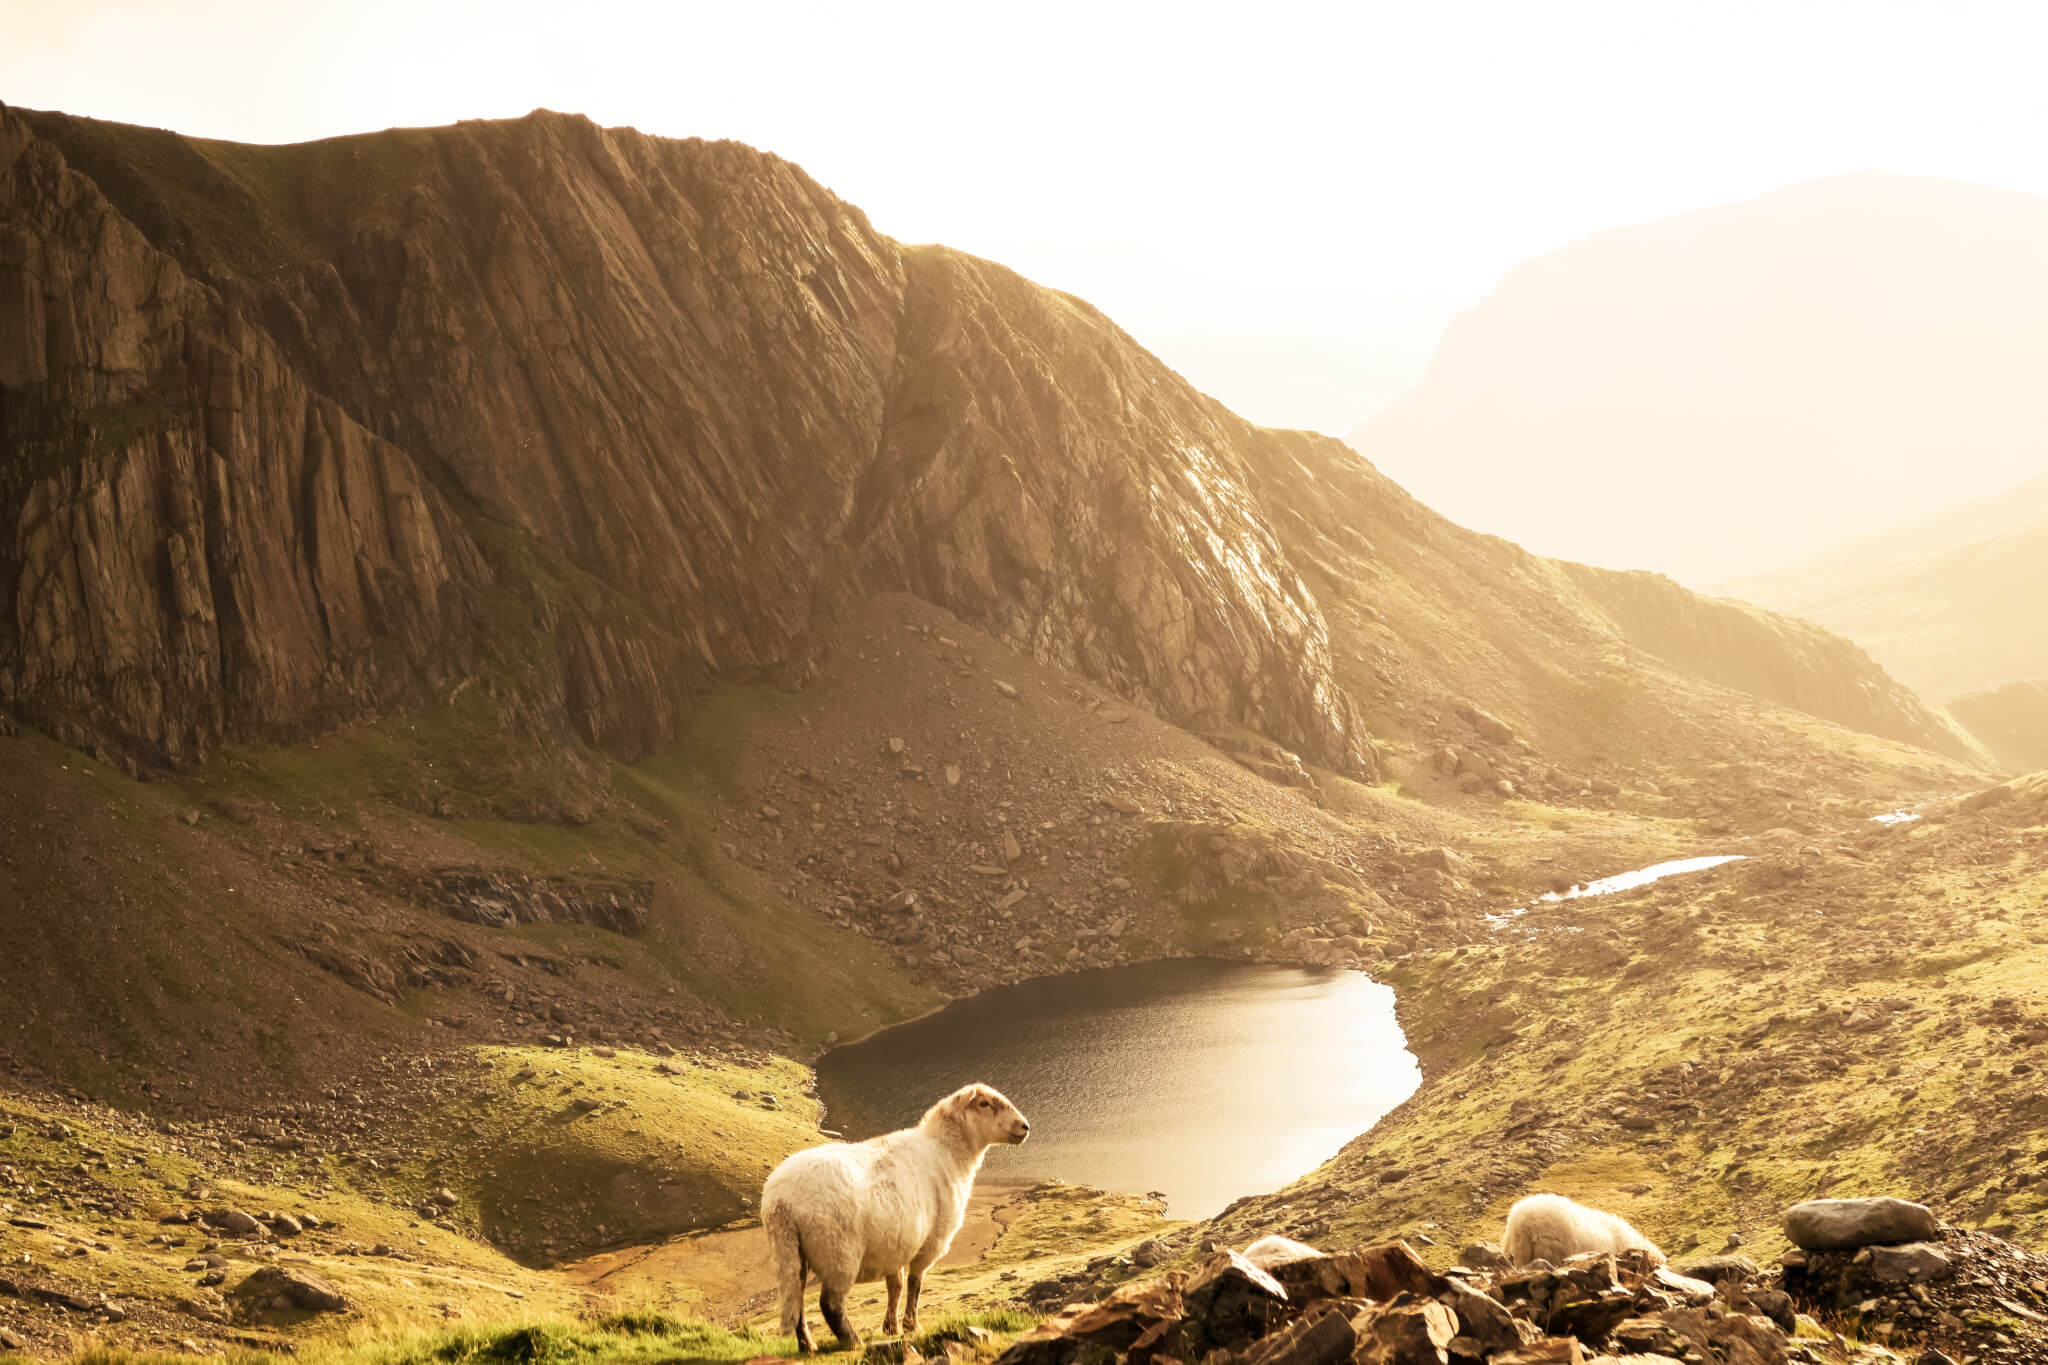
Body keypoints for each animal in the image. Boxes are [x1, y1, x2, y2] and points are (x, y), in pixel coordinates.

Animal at [761, 1080, 1032, 1350]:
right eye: (984, 1104)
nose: (1025, 1127)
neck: (948, 1150)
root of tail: (781, 1201)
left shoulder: (896, 1243)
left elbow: (896, 1286)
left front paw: (892, 1327)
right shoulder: (931, 1242)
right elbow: (915, 1283)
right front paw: (912, 1326)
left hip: (791, 1251)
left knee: (796, 1298)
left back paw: (808, 1345)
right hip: (838, 1251)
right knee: (830, 1304)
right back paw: (853, 1341)